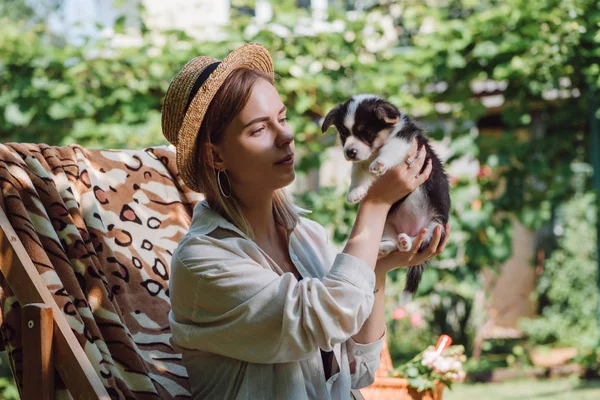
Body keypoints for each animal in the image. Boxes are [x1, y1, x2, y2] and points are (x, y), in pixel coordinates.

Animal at [322, 94, 448, 294]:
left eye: (367, 132)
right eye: (343, 134)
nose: (350, 152)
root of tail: (409, 230)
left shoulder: (404, 139)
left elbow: (390, 149)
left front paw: (380, 163)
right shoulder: (362, 161)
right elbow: (357, 171)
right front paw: (355, 192)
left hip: (436, 226)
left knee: (418, 243)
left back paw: (408, 242)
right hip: (387, 223)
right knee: (396, 244)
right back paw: (391, 246)